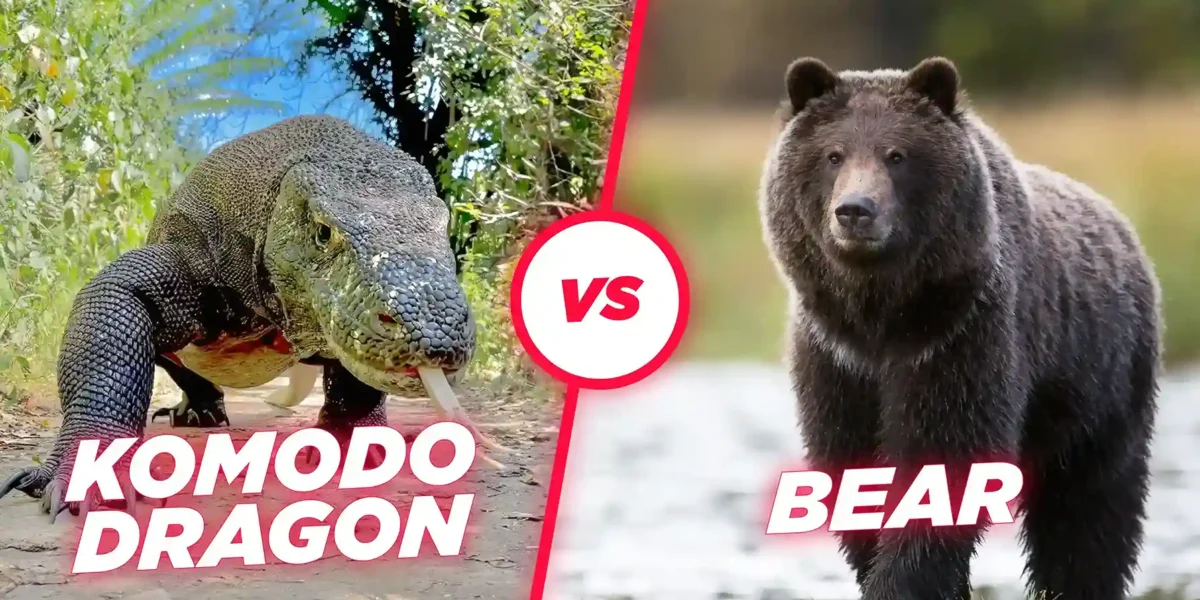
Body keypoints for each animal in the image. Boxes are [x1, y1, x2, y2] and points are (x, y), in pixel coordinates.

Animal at [757, 56, 1162, 600]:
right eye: (833, 155)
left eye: (897, 155)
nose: (855, 211)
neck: (881, 314)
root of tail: (1124, 229)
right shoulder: (836, 360)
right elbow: (850, 469)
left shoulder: (960, 337)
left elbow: (944, 463)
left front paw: (904, 582)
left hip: (1103, 387)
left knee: (1089, 512)